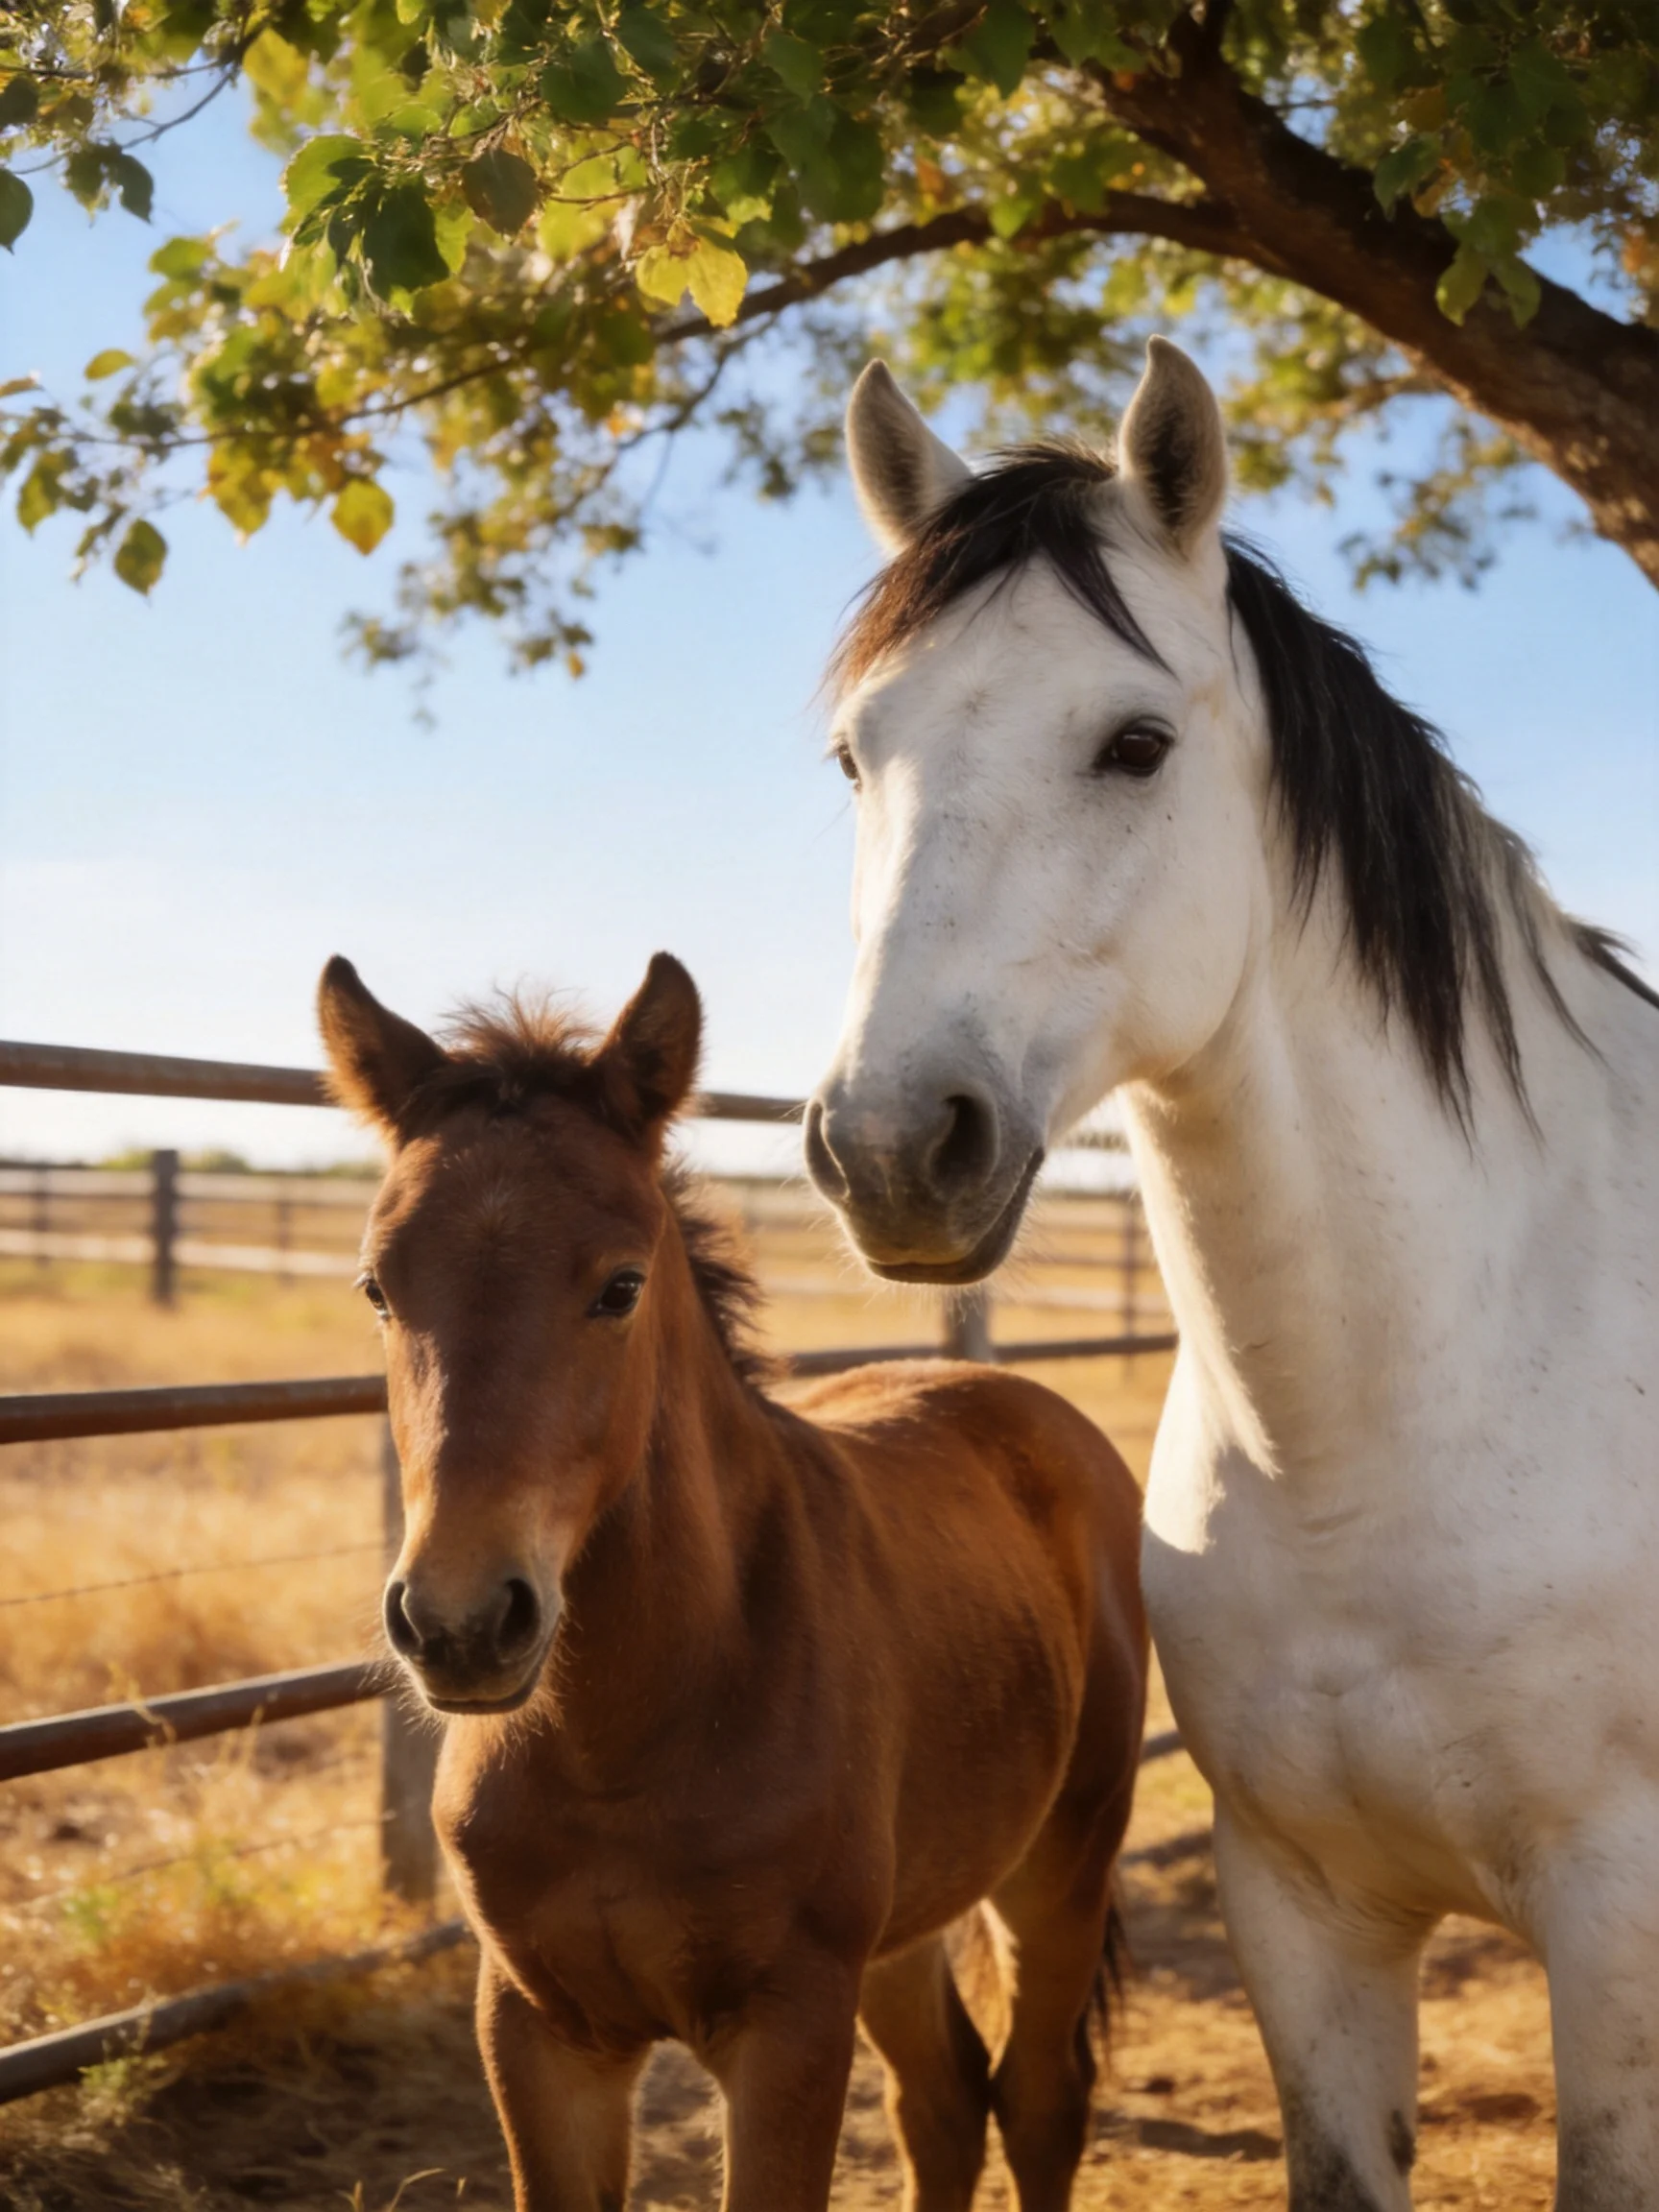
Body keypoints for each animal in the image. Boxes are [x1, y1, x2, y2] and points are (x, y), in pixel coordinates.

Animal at [317, 950, 1149, 2212]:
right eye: (376, 1288)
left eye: (620, 1286)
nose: (461, 1624)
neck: (623, 1740)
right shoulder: (536, 2030)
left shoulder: (787, 2026)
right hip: (904, 1924)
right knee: (947, 2101)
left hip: (1062, 1861)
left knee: (1042, 2099)